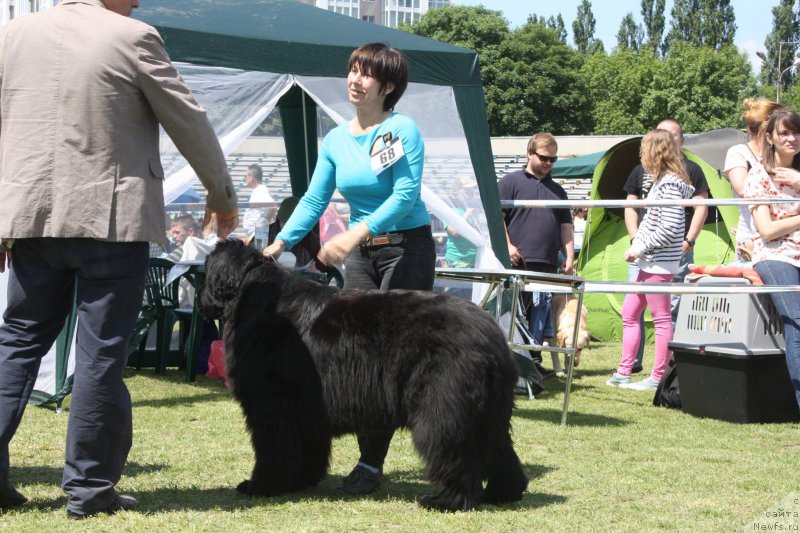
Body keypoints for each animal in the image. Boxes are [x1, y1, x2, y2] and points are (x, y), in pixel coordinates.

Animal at [198, 239, 524, 510]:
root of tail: (491, 335)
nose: (201, 301)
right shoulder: (307, 409)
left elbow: (273, 450)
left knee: (457, 453)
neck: (253, 294)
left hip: (442, 409)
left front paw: (260, 486)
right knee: (499, 451)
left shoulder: (271, 405)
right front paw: (301, 481)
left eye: (205, 267)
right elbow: (309, 448)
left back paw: (447, 500)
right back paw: (502, 493)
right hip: (489, 411)